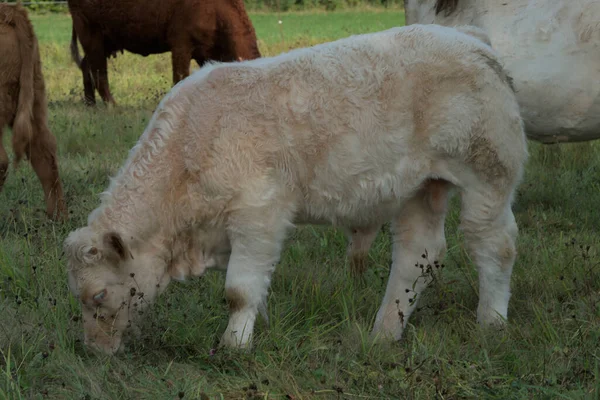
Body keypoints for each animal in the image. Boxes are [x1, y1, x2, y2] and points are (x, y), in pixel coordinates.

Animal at [63, 25, 528, 354]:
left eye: (99, 294)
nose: (95, 351)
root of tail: (473, 42)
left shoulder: (258, 214)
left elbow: (238, 290)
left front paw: (233, 347)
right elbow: (255, 287)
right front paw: (257, 328)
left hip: (488, 176)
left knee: (495, 245)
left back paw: (491, 323)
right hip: (420, 188)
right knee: (419, 257)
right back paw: (383, 333)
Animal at [68, 0, 260, 105]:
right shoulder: (181, 44)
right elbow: (180, 77)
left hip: (106, 42)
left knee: (86, 65)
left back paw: (91, 105)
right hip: (91, 34)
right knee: (99, 73)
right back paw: (113, 107)